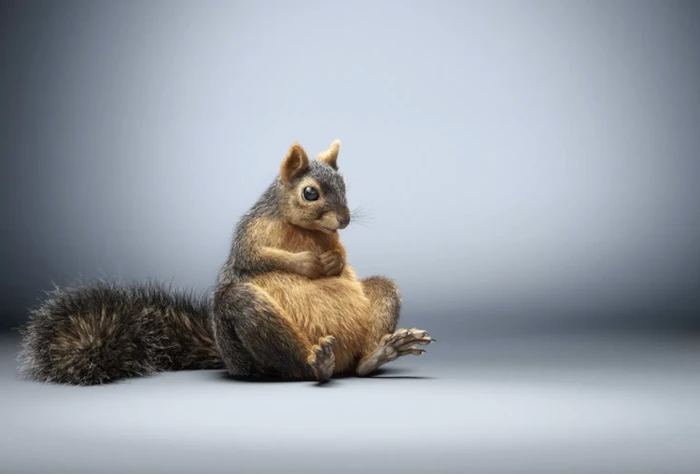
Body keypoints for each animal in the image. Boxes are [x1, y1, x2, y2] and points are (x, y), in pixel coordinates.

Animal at [18, 140, 435, 385]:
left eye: (346, 185)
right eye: (310, 193)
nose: (345, 220)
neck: (301, 229)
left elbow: (343, 256)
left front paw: (333, 260)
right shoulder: (247, 237)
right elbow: (258, 257)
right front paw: (313, 264)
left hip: (378, 304)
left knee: (361, 353)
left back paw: (378, 355)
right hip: (247, 316)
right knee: (293, 368)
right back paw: (318, 365)